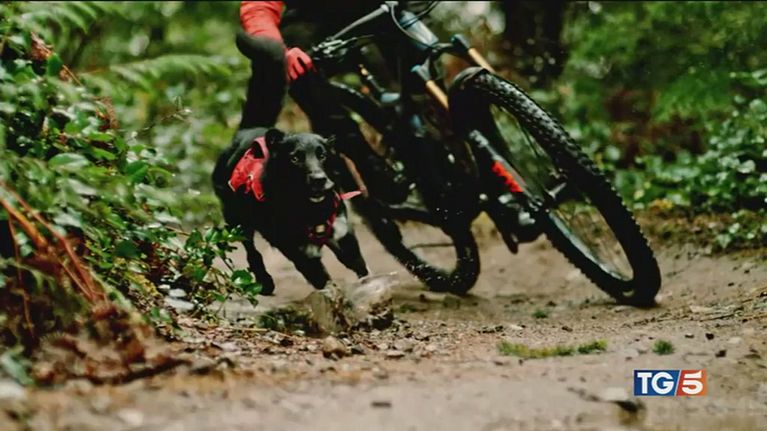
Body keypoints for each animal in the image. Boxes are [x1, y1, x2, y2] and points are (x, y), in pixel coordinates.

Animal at [212, 127, 369, 295]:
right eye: (294, 158)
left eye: (322, 155)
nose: (319, 180)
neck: (311, 208)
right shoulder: (300, 252)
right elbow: (323, 280)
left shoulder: (342, 232)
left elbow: (359, 265)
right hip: (237, 224)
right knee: (252, 251)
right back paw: (264, 282)